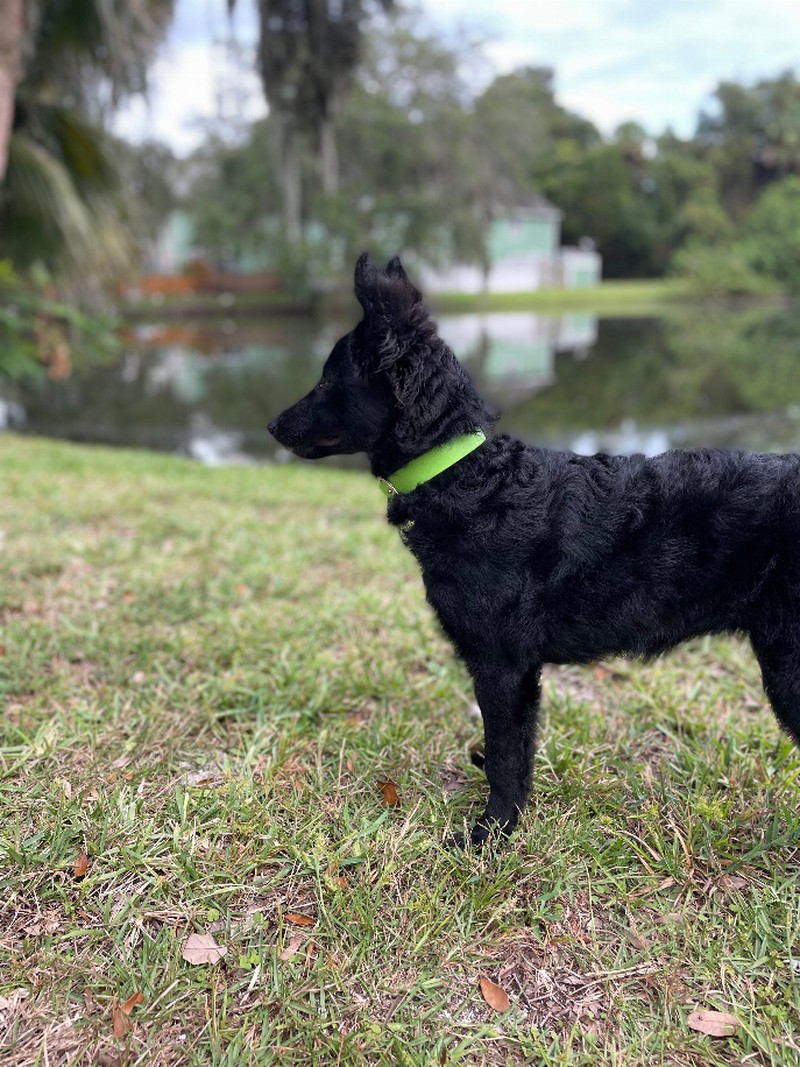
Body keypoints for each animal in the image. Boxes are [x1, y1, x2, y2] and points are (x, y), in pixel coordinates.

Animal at [269, 253, 800, 845]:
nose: (271, 425)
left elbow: (504, 755)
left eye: (327, 378)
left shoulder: (504, 665)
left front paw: (490, 835)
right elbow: (514, 753)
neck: (473, 482)